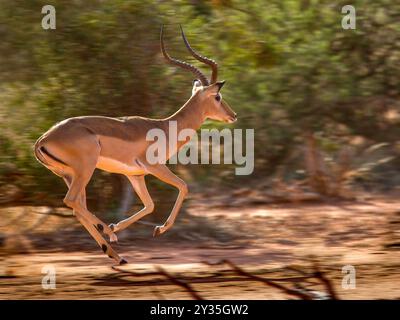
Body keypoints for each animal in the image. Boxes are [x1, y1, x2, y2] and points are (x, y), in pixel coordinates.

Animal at [34, 25, 236, 264]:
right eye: (218, 97)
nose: (233, 115)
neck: (166, 127)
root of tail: (42, 140)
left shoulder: (135, 175)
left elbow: (150, 205)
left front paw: (129, 227)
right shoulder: (154, 167)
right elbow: (183, 187)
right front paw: (158, 229)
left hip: (70, 175)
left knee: (77, 206)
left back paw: (115, 254)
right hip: (85, 170)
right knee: (71, 201)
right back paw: (108, 233)